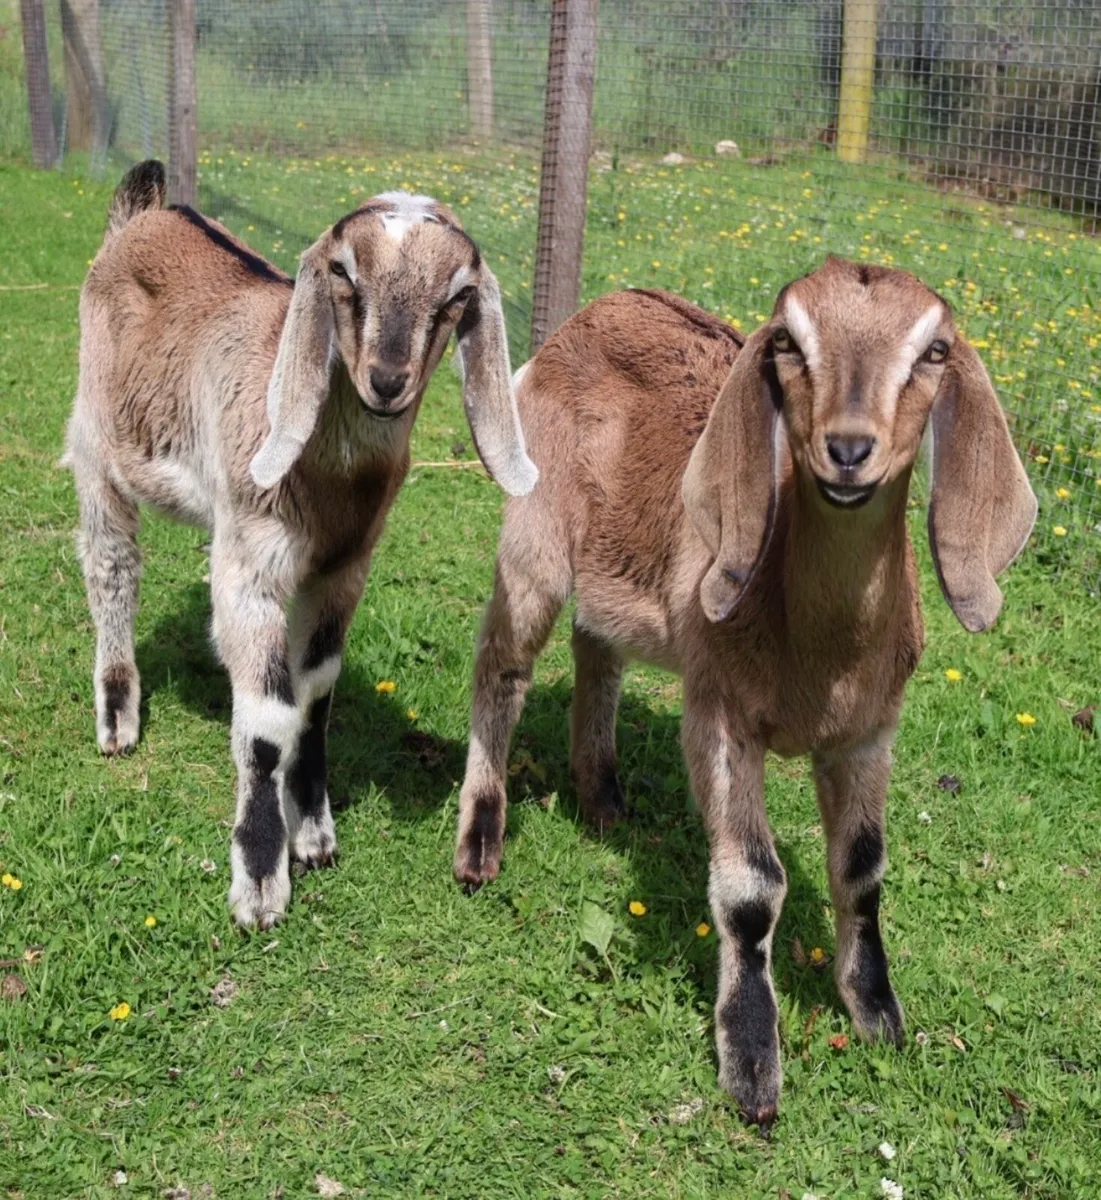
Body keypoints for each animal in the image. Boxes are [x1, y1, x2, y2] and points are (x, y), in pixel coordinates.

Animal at [67, 160, 537, 929]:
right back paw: (116, 717)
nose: (386, 380)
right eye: (343, 272)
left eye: (459, 294)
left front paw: (313, 831)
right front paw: (260, 880)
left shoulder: (344, 567)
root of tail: (148, 214)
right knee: (111, 566)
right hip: (97, 442)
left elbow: (313, 695)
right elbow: (265, 720)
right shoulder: (251, 567)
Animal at [453, 261, 1036, 1128]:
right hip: (533, 536)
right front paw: (752, 1063)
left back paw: (603, 799)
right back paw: (480, 846)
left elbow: (861, 868)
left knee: (597, 651)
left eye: (934, 351)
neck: (816, 656)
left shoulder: (869, 731)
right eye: (788, 340)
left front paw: (877, 1015)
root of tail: (593, 313)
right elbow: (751, 887)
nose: (847, 449)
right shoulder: (719, 716)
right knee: (501, 670)